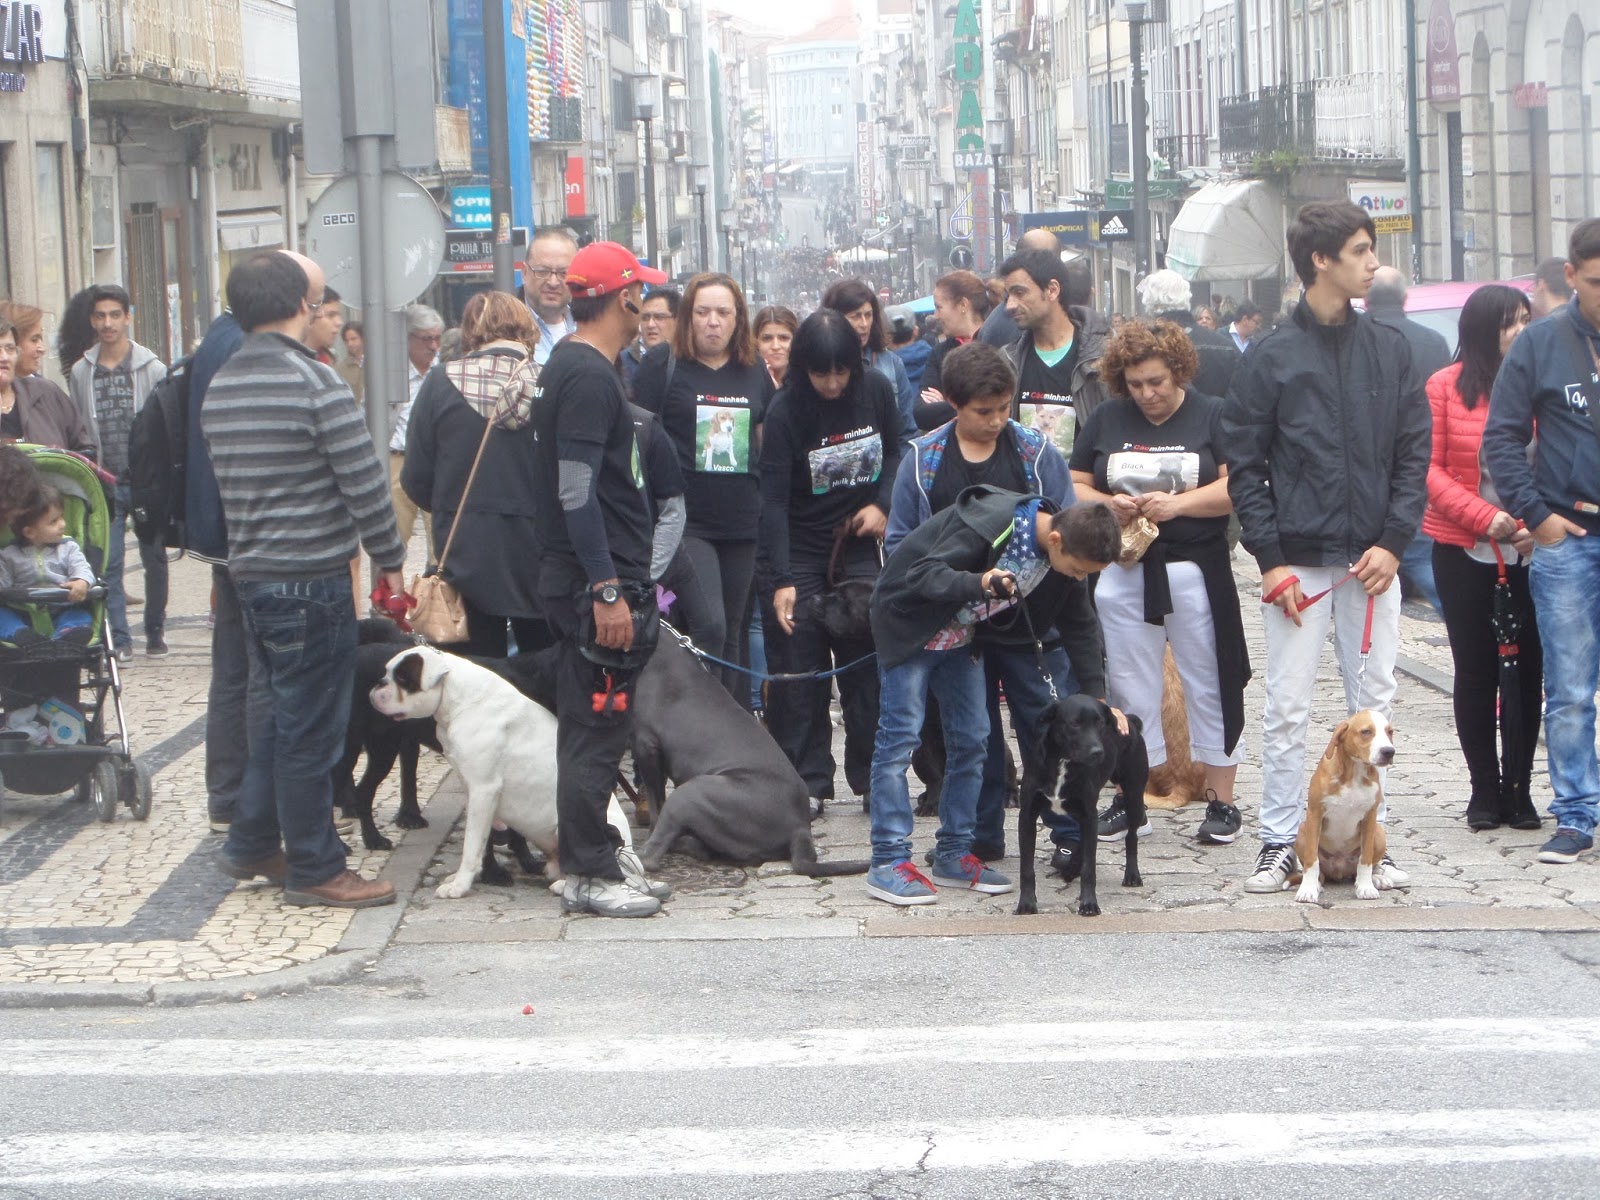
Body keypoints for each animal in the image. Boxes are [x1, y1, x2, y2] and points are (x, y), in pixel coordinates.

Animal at [368, 645, 638, 898]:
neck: (457, 698)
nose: (377, 685)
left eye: (403, 678)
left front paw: (460, 885)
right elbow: (481, 841)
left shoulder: (483, 790)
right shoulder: (472, 790)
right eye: (386, 672)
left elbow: (471, 844)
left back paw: (567, 885)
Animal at [1015, 695, 1148, 917]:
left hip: (1133, 796)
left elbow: (1089, 868)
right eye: (1075, 723)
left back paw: (1131, 875)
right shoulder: (1027, 816)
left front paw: (1089, 904)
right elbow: (1026, 868)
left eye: (1100, 723)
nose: (1097, 752)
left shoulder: (1089, 814)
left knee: (1131, 837)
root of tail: (1130, 720)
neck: (1064, 761)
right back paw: (1071, 868)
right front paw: (1026, 903)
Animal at [1290, 711, 1397, 904]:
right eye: (1366, 731)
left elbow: (1366, 859)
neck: (1354, 773)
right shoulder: (1315, 814)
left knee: (1365, 867)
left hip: (1378, 832)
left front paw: (1366, 887)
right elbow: (1312, 860)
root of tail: (1339, 870)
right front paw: (1307, 890)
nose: (1388, 751)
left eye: (1389, 732)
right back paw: (1316, 884)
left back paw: (1377, 879)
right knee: (1320, 872)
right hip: (1303, 830)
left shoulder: (1370, 817)